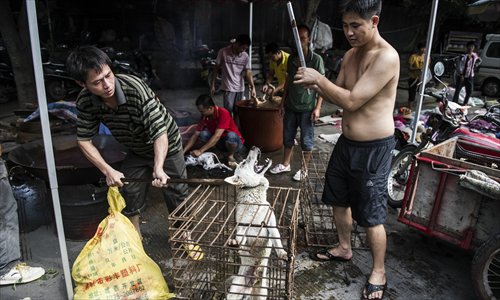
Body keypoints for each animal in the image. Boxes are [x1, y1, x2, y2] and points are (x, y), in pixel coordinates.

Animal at [225, 146, 288, 300]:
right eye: (243, 163)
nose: (254, 147)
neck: (255, 203)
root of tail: (251, 284)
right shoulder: (242, 227)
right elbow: (241, 238)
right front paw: (235, 243)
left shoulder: (271, 224)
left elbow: (277, 240)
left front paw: (282, 254)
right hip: (234, 292)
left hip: (262, 292)